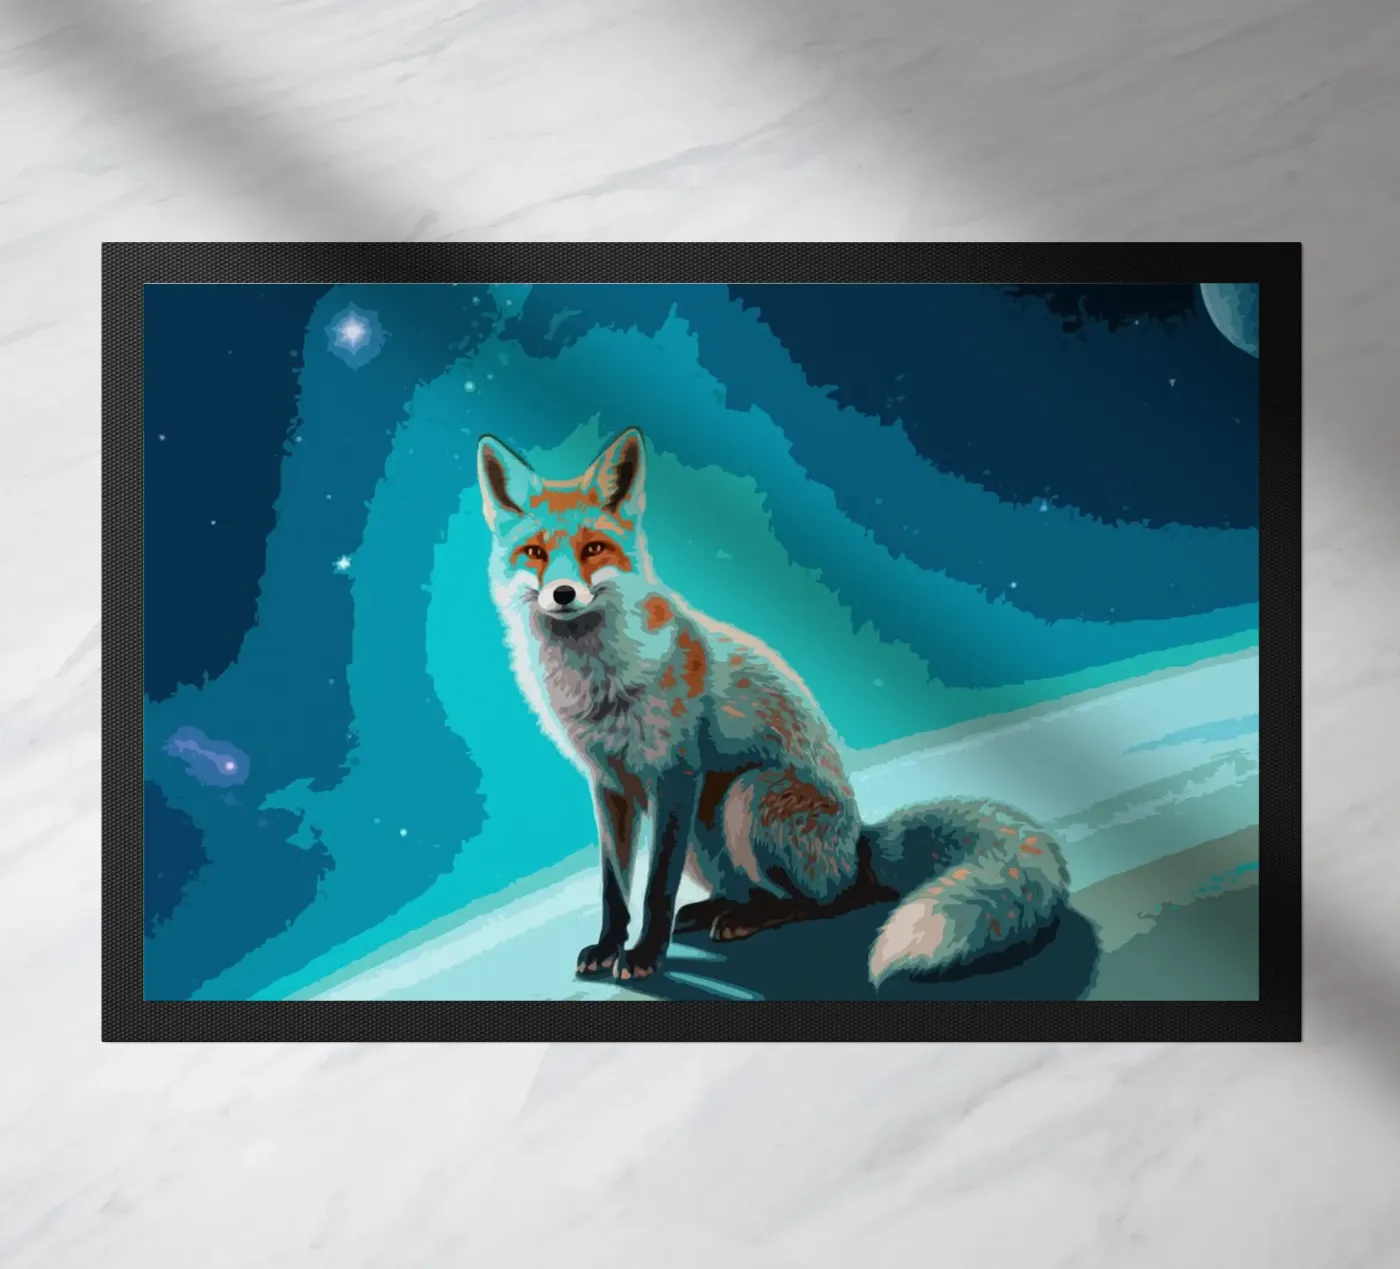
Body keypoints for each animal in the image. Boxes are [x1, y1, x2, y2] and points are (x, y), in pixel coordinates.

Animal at [476, 427, 1070, 987]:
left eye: (594, 549)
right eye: (535, 553)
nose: (563, 594)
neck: (597, 683)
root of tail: (861, 843)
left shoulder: (675, 774)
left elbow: (654, 889)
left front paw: (644, 956)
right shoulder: (609, 785)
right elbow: (614, 888)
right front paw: (608, 947)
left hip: (744, 797)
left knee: (828, 901)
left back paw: (752, 919)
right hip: (706, 831)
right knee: (756, 892)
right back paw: (717, 910)